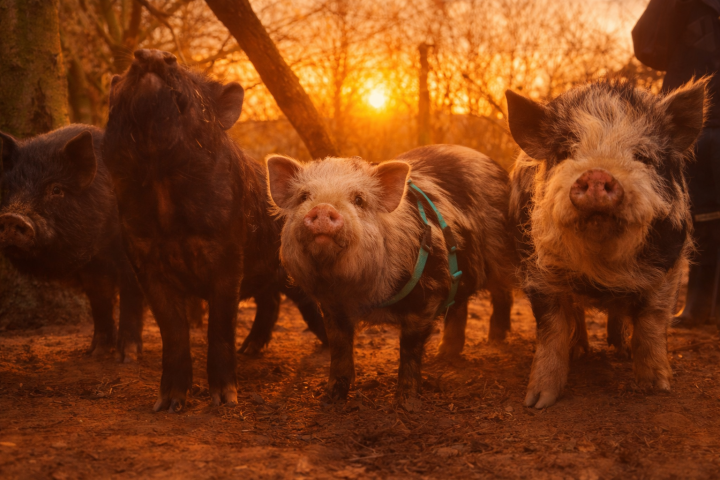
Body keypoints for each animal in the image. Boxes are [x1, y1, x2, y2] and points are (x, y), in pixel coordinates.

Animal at [0, 125, 144, 362]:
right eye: (9, 189)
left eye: (56, 189)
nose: (12, 217)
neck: (101, 248)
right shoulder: (93, 268)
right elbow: (100, 302)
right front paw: (95, 354)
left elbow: (131, 298)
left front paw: (127, 359)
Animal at [103, 49, 326, 412]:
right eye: (121, 79)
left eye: (192, 80)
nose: (152, 53)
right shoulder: (144, 261)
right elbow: (172, 330)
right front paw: (168, 404)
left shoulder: (228, 253)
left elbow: (220, 325)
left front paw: (225, 401)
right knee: (270, 301)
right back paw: (249, 350)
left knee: (304, 302)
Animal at [266, 145, 517, 405]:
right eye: (304, 197)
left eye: (359, 199)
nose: (324, 208)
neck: (361, 295)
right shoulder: (331, 306)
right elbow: (339, 347)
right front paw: (331, 398)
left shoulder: (426, 297)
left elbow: (409, 348)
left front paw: (406, 401)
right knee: (460, 304)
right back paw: (445, 354)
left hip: (502, 254)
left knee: (503, 293)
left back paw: (495, 339)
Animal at [506, 78, 707, 408]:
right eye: (565, 152)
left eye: (643, 156)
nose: (598, 174)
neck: (602, 263)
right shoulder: (536, 270)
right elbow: (551, 330)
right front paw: (537, 402)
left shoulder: (670, 264)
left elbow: (651, 322)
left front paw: (658, 387)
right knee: (577, 315)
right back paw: (581, 350)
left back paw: (620, 349)